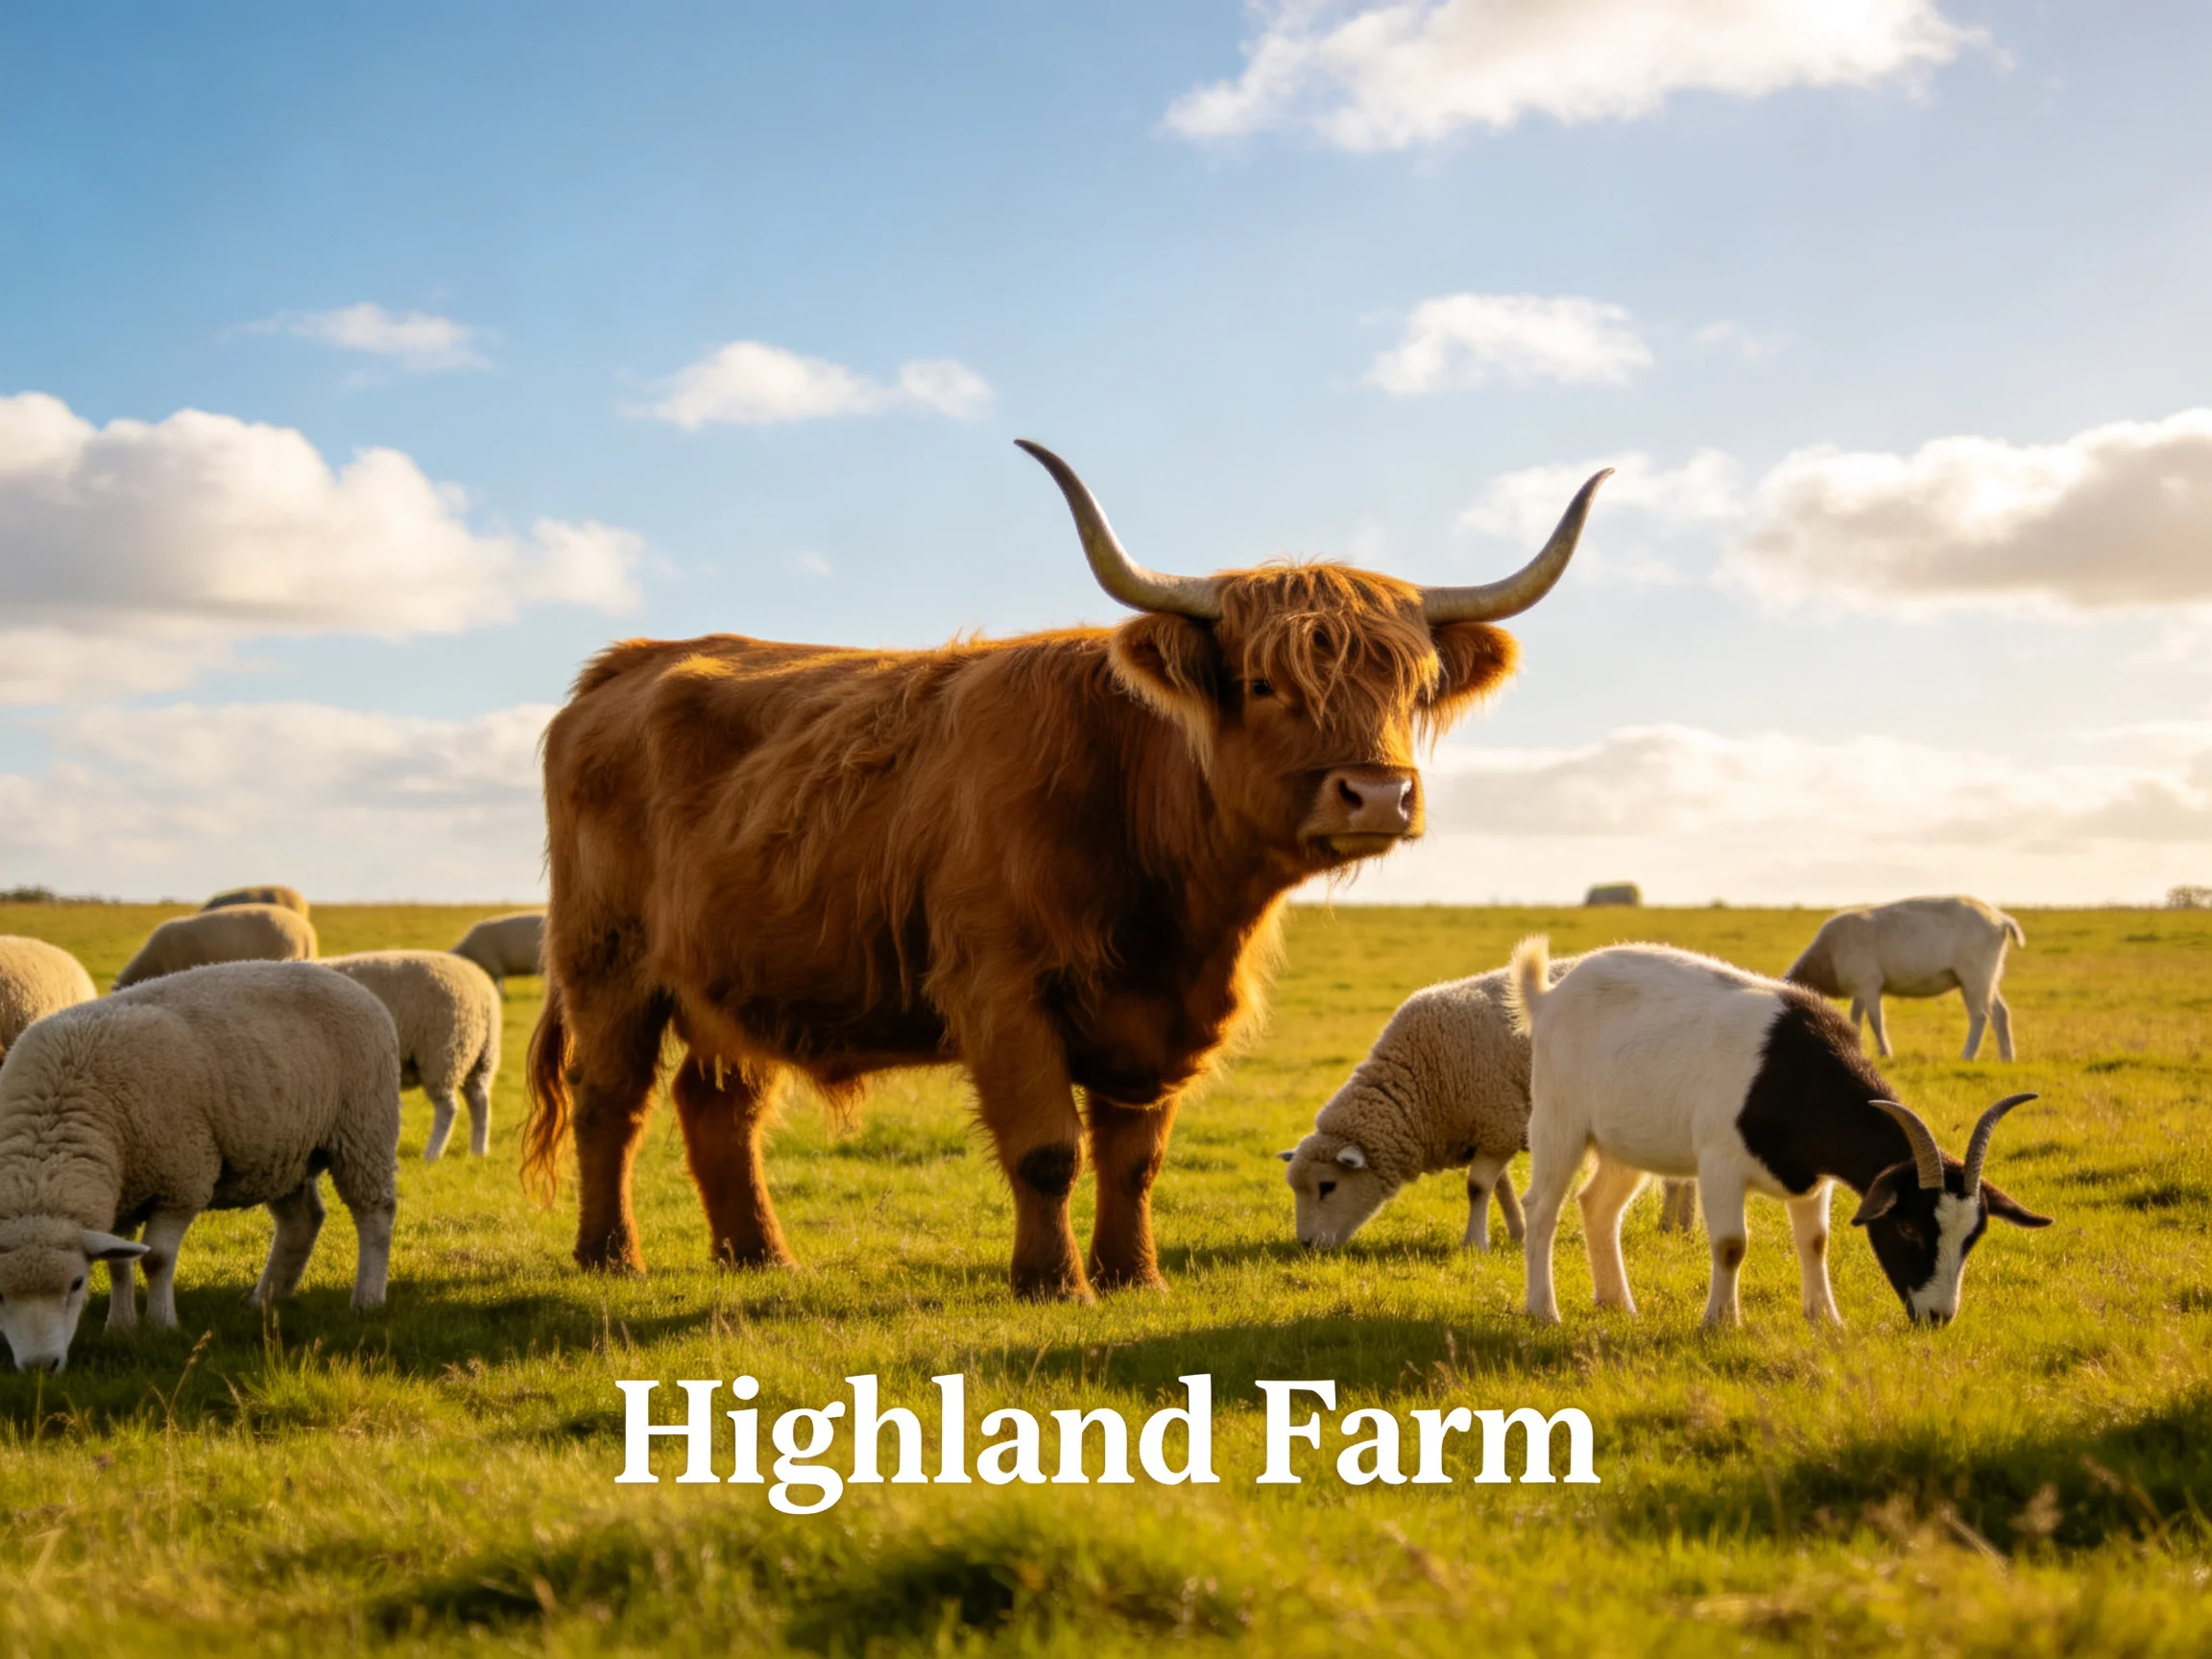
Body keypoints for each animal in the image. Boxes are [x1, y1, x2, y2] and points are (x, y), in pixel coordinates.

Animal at [0, 961, 400, 1372]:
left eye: (77, 1283)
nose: (39, 1367)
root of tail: (346, 981)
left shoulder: (182, 1181)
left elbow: (156, 1259)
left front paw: (161, 1325)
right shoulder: (123, 1193)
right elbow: (119, 1264)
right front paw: (121, 1326)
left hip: (364, 1127)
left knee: (375, 1213)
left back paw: (367, 1299)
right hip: (284, 1152)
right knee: (302, 1220)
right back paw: (266, 1298)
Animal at [322, 951, 501, 1160]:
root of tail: (482, 989)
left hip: (442, 1054)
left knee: (448, 1108)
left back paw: (433, 1153)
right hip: (479, 1056)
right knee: (479, 1102)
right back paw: (478, 1151)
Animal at [1281, 957, 1579, 1252]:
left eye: (1327, 1186)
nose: (1306, 1244)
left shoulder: (1500, 1124)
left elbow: (1477, 1187)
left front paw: (1474, 1244)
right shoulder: (1489, 1133)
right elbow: (1500, 1187)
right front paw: (1518, 1232)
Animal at [1507, 936, 2050, 1330]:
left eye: (1972, 1237)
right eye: (1909, 1228)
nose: (1937, 1317)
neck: (1796, 1071)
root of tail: (1548, 997)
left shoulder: (1811, 1177)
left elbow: (1815, 1241)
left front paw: (1826, 1320)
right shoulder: (1719, 1163)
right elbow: (1731, 1244)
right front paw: (1720, 1323)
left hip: (1626, 1143)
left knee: (1598, 1206)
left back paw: (1618, 1304)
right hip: (1559, 1121)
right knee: (1543, 1208)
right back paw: (1543, 1311)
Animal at [1786, 895, 2024, 1061]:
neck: (1824, 959)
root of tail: (2001, 919)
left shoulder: (1869, 983)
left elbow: (1875, 1020)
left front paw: (1885, 1054)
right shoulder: (1860, 987)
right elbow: (1855, 1019)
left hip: (1974, 973)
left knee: (1980, 1015)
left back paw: (1967, 1056)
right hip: (1990, 973)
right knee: (2000, 1012)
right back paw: (2007, 1057)